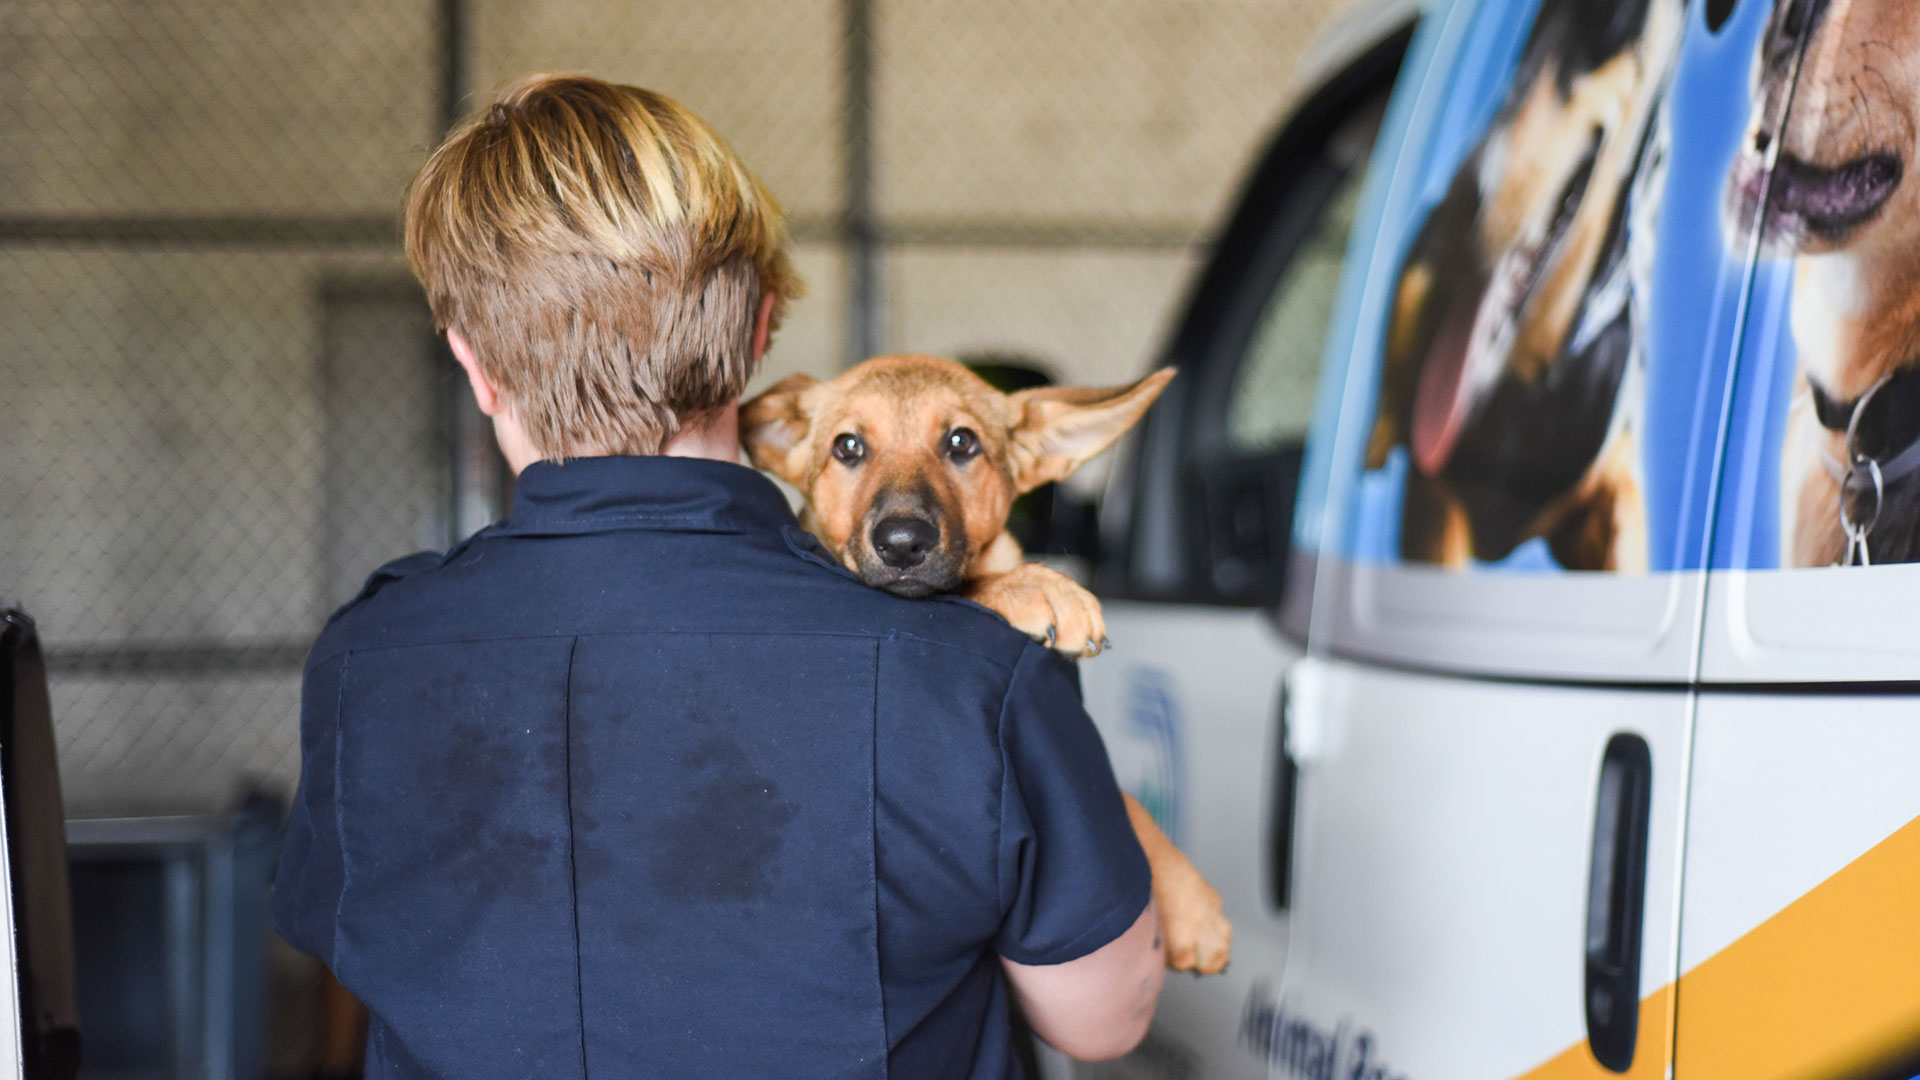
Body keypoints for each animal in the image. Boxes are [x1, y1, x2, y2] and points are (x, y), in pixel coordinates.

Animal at [733, 351, 1228, 968]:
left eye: (961, 442)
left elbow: (1126, 798)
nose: (902, 543)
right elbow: (971, 588)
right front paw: (1036, 586)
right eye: (847, 447)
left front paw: (1191, 902)